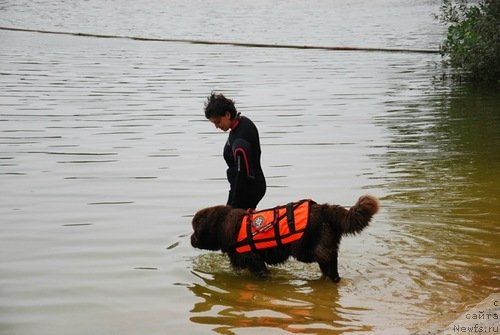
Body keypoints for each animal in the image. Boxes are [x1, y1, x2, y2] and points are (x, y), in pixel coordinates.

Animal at [191, 196, 378, 282]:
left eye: (195, 230)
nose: (191, 238)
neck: (222, 225)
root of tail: (324, 209)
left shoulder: (254, 259)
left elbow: (261, 272)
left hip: (307, 248)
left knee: (328, 258)